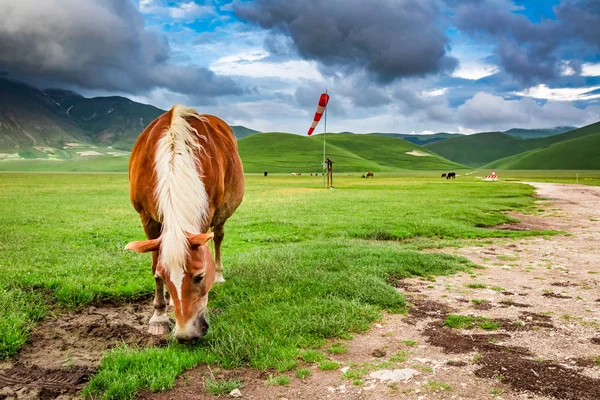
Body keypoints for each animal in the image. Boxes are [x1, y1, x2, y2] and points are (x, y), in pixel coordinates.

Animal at [125, 105, 245, 344]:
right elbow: (154, 265)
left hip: (221, 214)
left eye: (199, 276)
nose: (186, 335)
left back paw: (219, 275)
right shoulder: (147, 219)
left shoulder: (207, 214)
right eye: (163, 276)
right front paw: (159, 317)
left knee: (218, 237)